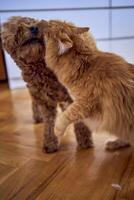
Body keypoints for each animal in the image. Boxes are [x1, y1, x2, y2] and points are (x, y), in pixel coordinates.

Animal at [1, 16, 93, 152]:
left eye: (36, 22)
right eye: (17, 26)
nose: (34, 28)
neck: (40, 67)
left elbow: (79, 119)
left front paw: (85, 140)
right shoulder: (45, 101)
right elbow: (49, 123)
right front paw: (50, 142)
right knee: (35, 102)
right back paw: (38, 117)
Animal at [39, 19, 134, 150]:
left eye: (49, 24)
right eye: (51, 21)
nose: (42, 20)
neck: (84, 66)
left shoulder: (86, 103)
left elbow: (65, 116)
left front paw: (56, 132)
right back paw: (114, 143)